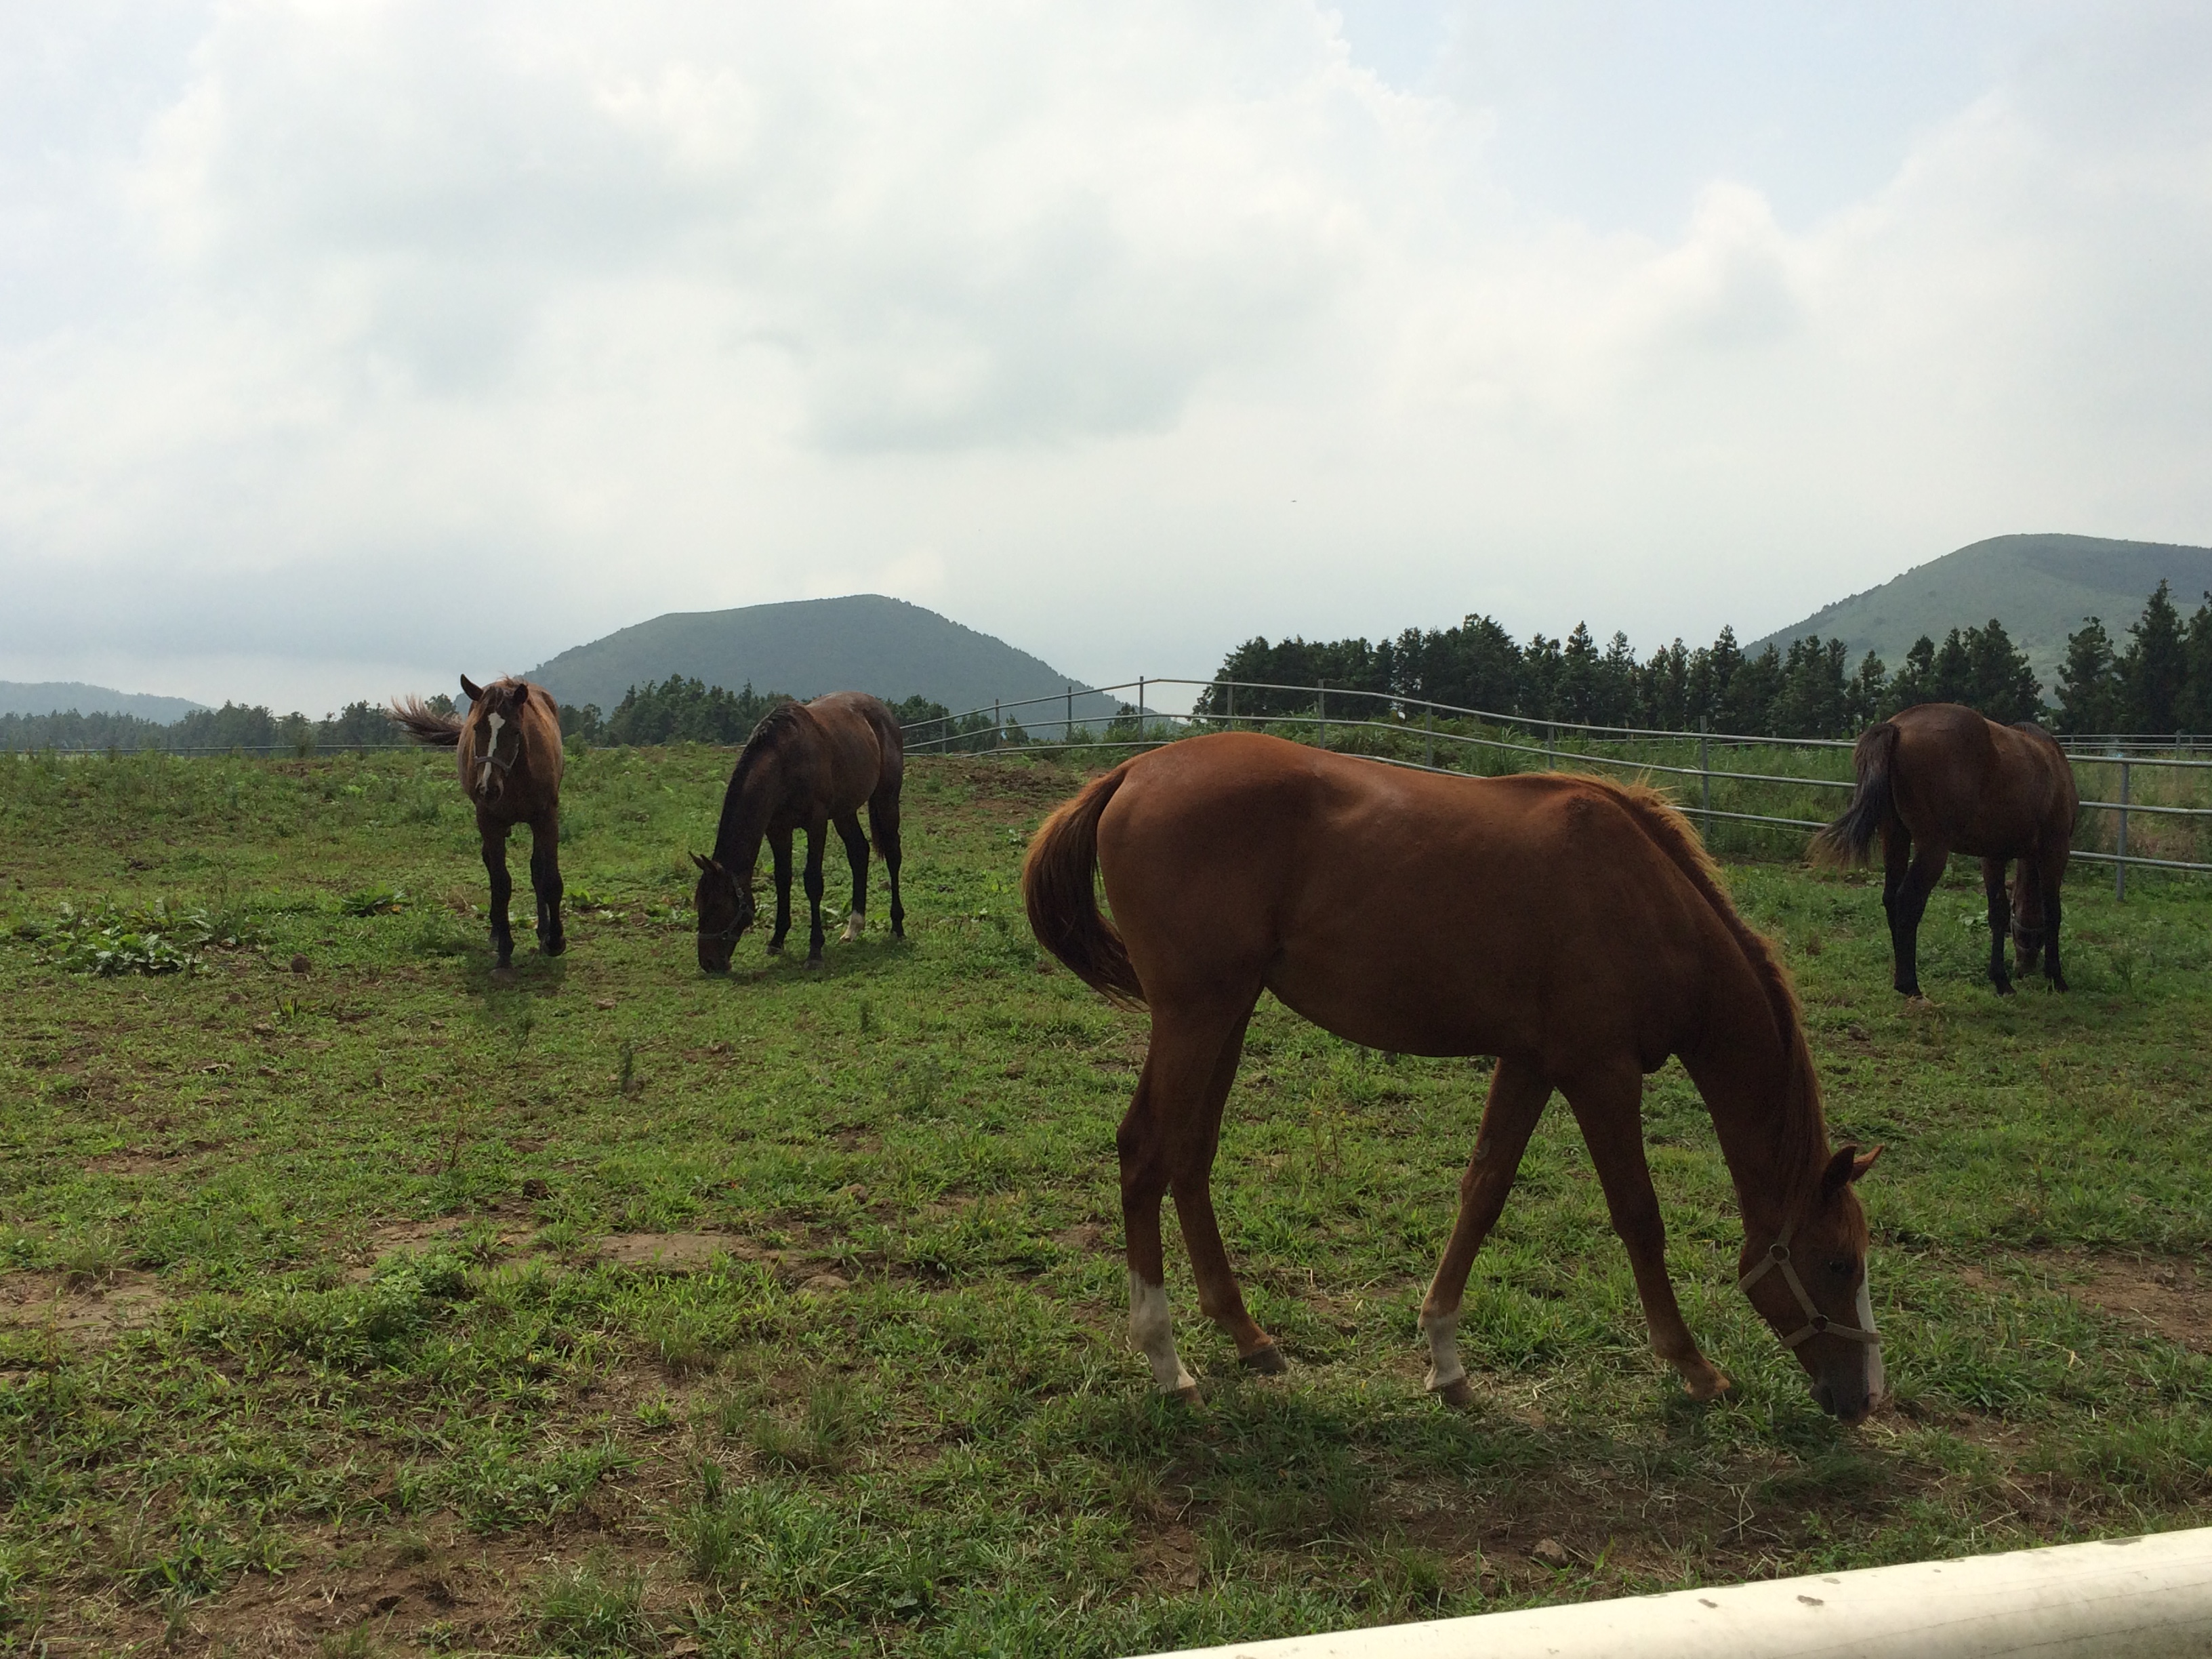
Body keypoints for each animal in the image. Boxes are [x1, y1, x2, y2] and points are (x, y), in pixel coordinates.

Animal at [389, 676, 566, 973]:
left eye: (515, 731)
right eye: (477, 728)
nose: (488, 789)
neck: (515, 776)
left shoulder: (546, 817)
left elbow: (549, 878)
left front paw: (555, 941)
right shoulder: (489, 822)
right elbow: (501, 883)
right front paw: (505, 948)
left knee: (536, 869)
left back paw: (543, 931)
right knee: (492, 867)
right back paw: (497, 931)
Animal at [685, 690, 902, 973]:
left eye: (718, 906)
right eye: (700, 906)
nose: (709, 963)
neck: (783, 761)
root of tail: (883, 711)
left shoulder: (816, 823)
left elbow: (813, 882)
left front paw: (815, 951)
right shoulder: (778, 829)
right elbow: (782, 879)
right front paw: (777, 940)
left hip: (887, 799)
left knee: (894, 856)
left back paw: (898, 927)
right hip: (844, 811)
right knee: (858, 853)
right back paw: (853, 928)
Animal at [1017, 739, 1884, 1433]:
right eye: (1840, 1264)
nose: (1866, 1398)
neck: (1648, 901)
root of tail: (1133, 772)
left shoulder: (1532, 1064)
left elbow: (1484, 1191)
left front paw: (1446, 1359)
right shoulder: (1599, 1073)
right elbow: (1639, 1217)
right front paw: (1693, 1366)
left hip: (1227, 1013)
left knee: (1191, 1158)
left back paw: (1247, 1335)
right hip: (1195, 1015)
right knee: (1145, 1154)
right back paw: (1168, 1365)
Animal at [1814, 703, 2070, 1000]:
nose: (2024, 967)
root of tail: (1898, 727)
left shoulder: (1993, 856)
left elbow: (1998, 915)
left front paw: (2001, 980)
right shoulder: (2055, 851)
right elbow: (2053, 913)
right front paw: (2056, 977)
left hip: (1895, 836)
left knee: (1891, 898)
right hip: (1933, 848)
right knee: (1908, 900)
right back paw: (1909, 983)